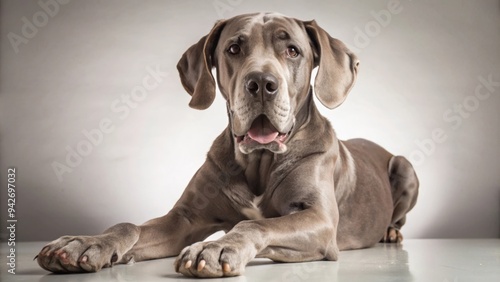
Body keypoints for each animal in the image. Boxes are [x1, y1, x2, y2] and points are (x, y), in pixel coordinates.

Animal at [36, 13, 418, 278]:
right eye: (234, 48)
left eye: (293, 50)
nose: (262, 82)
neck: (260, 161)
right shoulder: (184, 219)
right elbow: (128, 226)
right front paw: (85, 243)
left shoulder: (319, 220)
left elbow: (255, 224)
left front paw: (216, 248)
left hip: (404, 167)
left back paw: (391, 232)